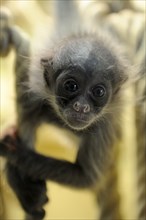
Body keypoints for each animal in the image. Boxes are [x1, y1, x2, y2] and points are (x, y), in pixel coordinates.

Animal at [0, 1, 138, 220]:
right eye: (71, 86)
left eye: (99, 91)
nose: (81, 106)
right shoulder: (34, 100)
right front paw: (21, 185)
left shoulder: (102, 127)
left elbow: (86, 178)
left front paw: (16, 154)